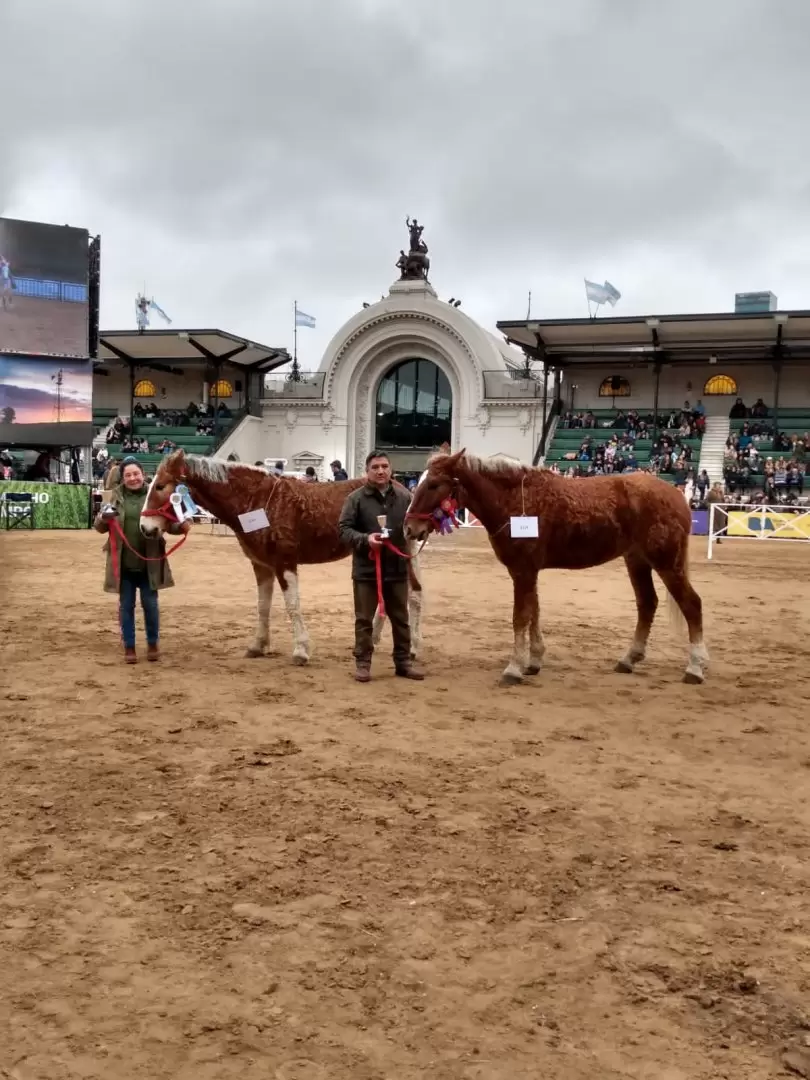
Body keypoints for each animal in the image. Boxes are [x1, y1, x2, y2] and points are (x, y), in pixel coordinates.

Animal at [141, 449, 425, 665]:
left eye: (160, 486)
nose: (146, 528)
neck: (255, 501)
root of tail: (401, 487)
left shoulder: (284, 563)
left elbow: (292, 605)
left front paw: (300, 651)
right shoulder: (261, 565)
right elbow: (262, 605)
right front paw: (257, 646)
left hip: (406, 552)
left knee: (415, 594)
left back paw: (413, 647)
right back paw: (374, 640)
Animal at [406, 447, 708, 682]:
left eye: (434, 484)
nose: (409, 528)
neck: (516, 501)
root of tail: (677, 496)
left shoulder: (523, 570)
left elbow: (520, 616)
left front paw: (513, 668)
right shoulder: (527, 571)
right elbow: (534, 613)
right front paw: (533, 661)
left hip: (667, 563)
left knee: (692, 604)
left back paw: (695, 667)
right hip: (637, 561)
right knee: (647, 603)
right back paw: (629, 659)